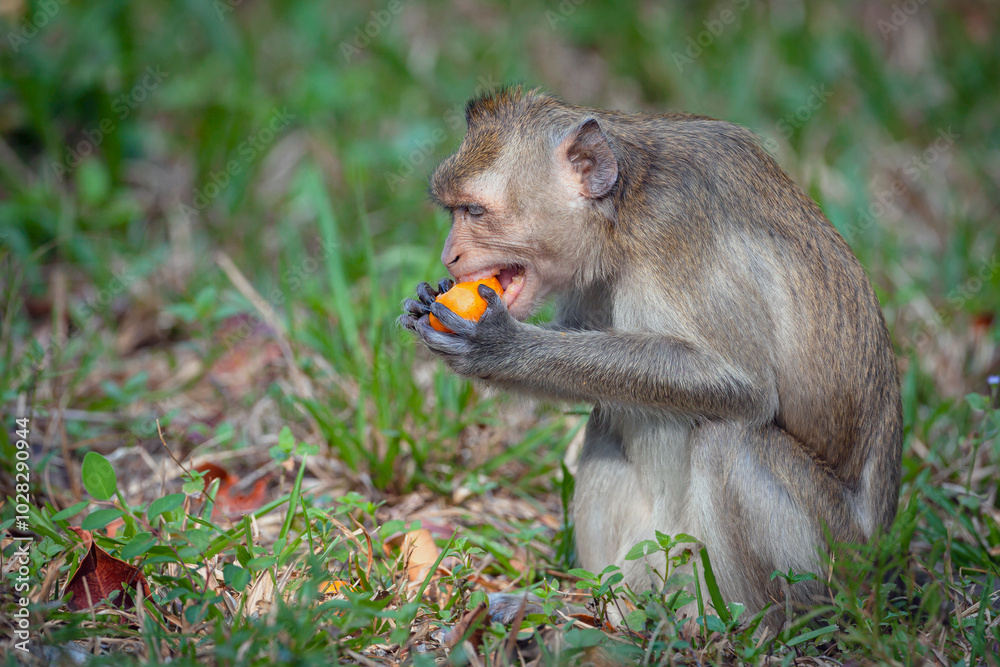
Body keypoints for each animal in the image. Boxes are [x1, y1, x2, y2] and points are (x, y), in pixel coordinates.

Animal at [400, 86, 902, 632]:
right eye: (453, 209)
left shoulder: (680, 233)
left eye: (473, 210)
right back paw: (607, 614)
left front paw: (499, 348)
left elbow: (740, 384)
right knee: (607, 418)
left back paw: (742, 630)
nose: (448, 256)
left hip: (829, 563)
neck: (624, 208)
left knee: (729, 439)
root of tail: (874, 566)